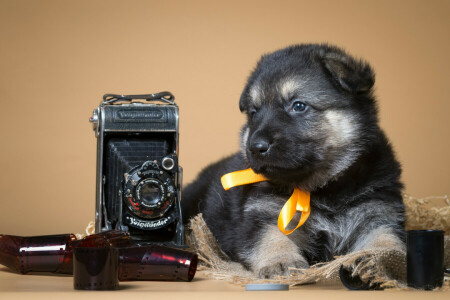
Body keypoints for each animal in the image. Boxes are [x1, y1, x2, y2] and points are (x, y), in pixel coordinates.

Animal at [181, 44, 406, 278]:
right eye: (254, 113)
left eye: (298, 106)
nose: (255, 147)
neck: (323, 189)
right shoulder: (262, 215)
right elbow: (271, 237)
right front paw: (281, 260)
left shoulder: (378, 212)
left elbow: (385, 238)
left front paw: (384, 260)